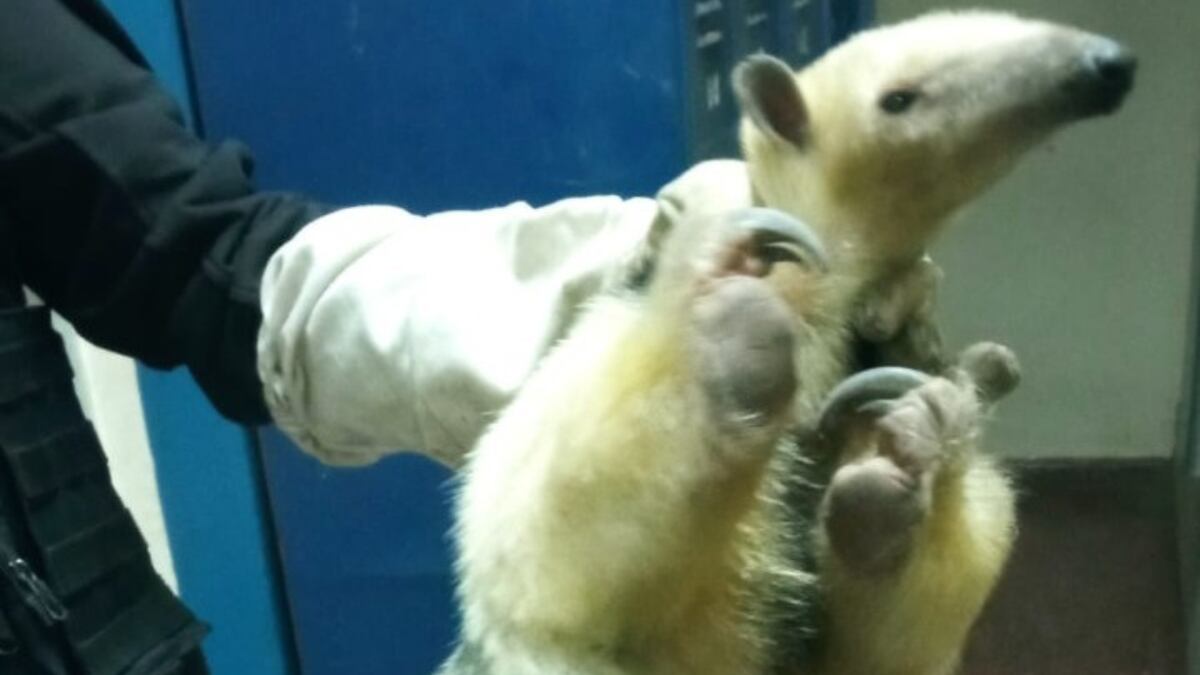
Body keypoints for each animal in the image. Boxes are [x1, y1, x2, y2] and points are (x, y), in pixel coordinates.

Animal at [440, 9, 1135, 675]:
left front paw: (905, 452)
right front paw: (734, 330)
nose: (1111, 68)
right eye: (899, 99)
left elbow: (890, 642)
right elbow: (555, 542)